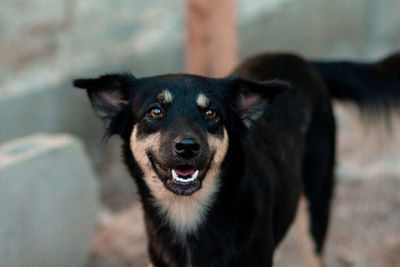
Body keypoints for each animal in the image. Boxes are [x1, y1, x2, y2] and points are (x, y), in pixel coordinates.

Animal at [73, 51, 398, 266]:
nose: (187, 147)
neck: (188, 215)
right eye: (155, 111)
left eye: (211, 113)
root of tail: (301, 59)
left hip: (316, 205)